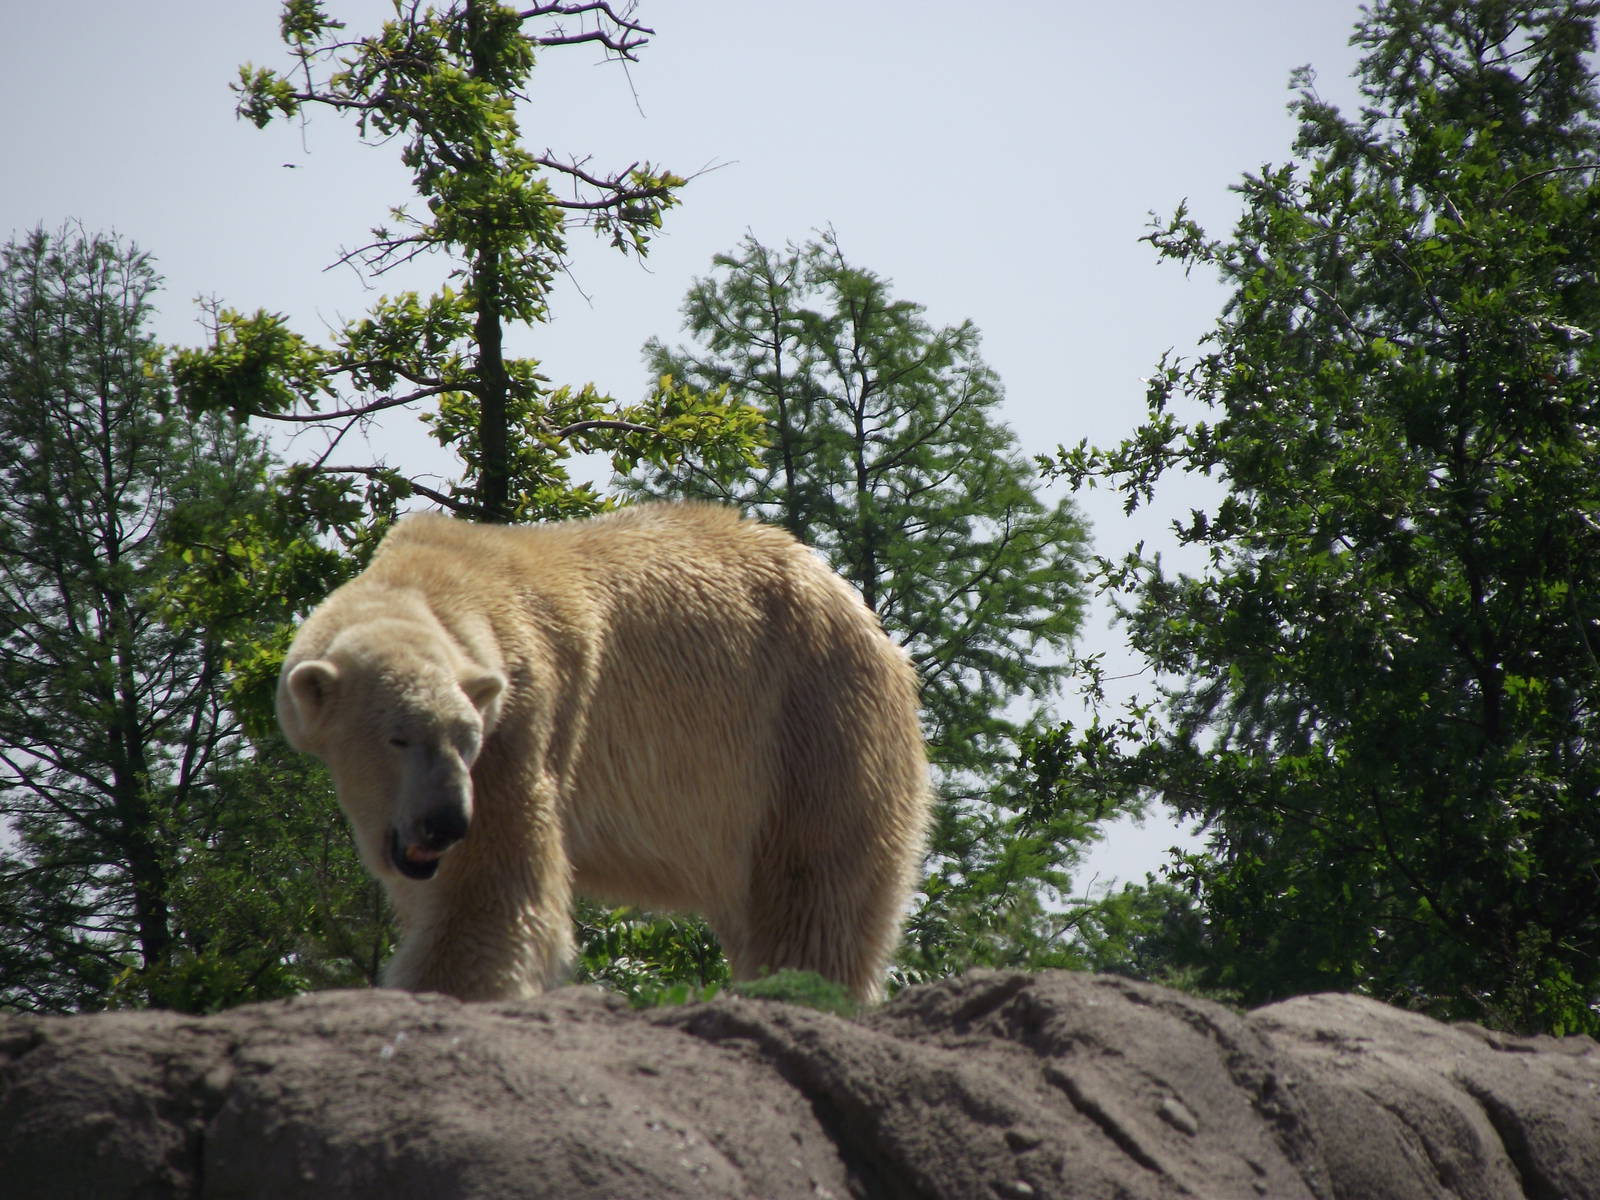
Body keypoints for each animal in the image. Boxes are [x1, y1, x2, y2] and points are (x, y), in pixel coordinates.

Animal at [277, 502, 930, 1003]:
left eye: (466, 740)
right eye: (399, 737)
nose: (445, 823)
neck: (440, 574)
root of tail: (871, 626)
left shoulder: (522, 726)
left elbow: (490, 894)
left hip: (812, 727)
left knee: (815, 889)